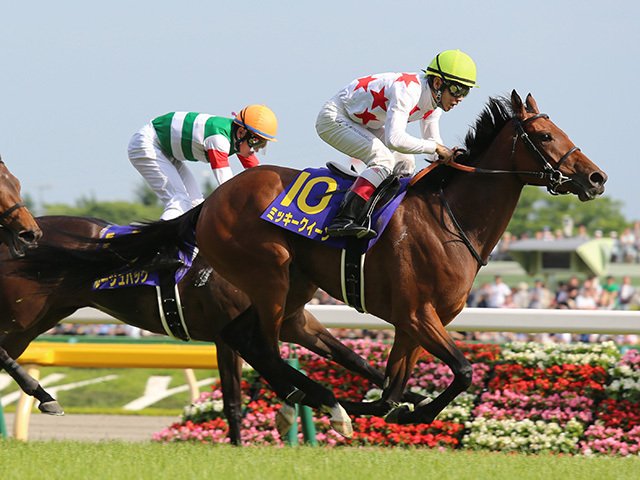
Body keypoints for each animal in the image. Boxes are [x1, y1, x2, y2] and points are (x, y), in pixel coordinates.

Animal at [0, 215, 389, 444]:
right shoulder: (229, 334)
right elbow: (236, 397)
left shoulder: (295, 323)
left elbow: (353, 359)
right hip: (21, 316)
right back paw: (44, 395)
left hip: (34, 321)